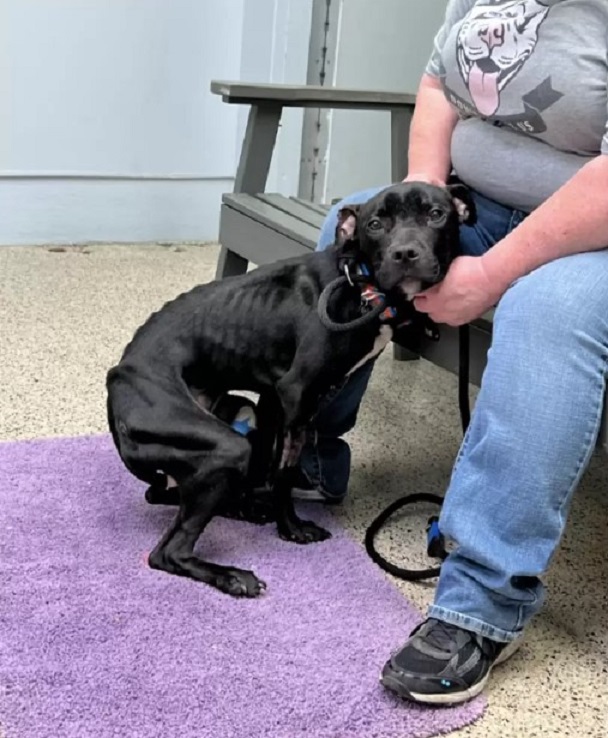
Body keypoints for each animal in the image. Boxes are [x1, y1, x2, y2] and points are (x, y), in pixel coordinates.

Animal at [105, 181, 476, 596]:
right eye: (376, 224)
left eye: (436, 214)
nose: (406, 253)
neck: (359, 283)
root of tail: (118, 381)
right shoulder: (296, 395)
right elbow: (283, 473)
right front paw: (291, 528)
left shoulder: (272, 401)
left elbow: (269, 464)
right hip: (224, 445)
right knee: (167, 552)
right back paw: (233, 575)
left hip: (235, 417)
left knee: (166, 495)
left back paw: (241, 508)